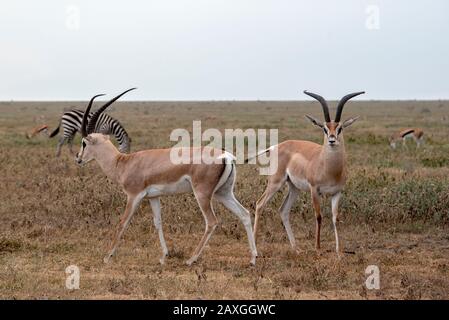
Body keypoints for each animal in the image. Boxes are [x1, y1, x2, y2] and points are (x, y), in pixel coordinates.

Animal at [74, 89, 256, 264]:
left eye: (84, 142)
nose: (78, 158)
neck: (123, 163)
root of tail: (226, 156)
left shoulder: (134, 196)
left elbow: (123, 223)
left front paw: (107, 256)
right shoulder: (153, 197)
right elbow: (158, 223)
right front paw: (164, 256)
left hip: (202, 194)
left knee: (211, 222)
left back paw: (191, 259)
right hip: (223, 193)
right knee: (245, 214)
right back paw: (253, 258)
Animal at [250, 91, 362, 256]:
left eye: (340, 128)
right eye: (324, 128)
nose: (332, 140)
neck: (329, 169)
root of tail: (278, 145)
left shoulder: (337, 192)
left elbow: (335, 218)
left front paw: (339, 251)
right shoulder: (314, 190)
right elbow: (319, 216)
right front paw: (318, 248)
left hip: (294, 188)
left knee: (283, 210)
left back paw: (296, 248)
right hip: (276, 182)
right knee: (259, 204)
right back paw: (256, 249)